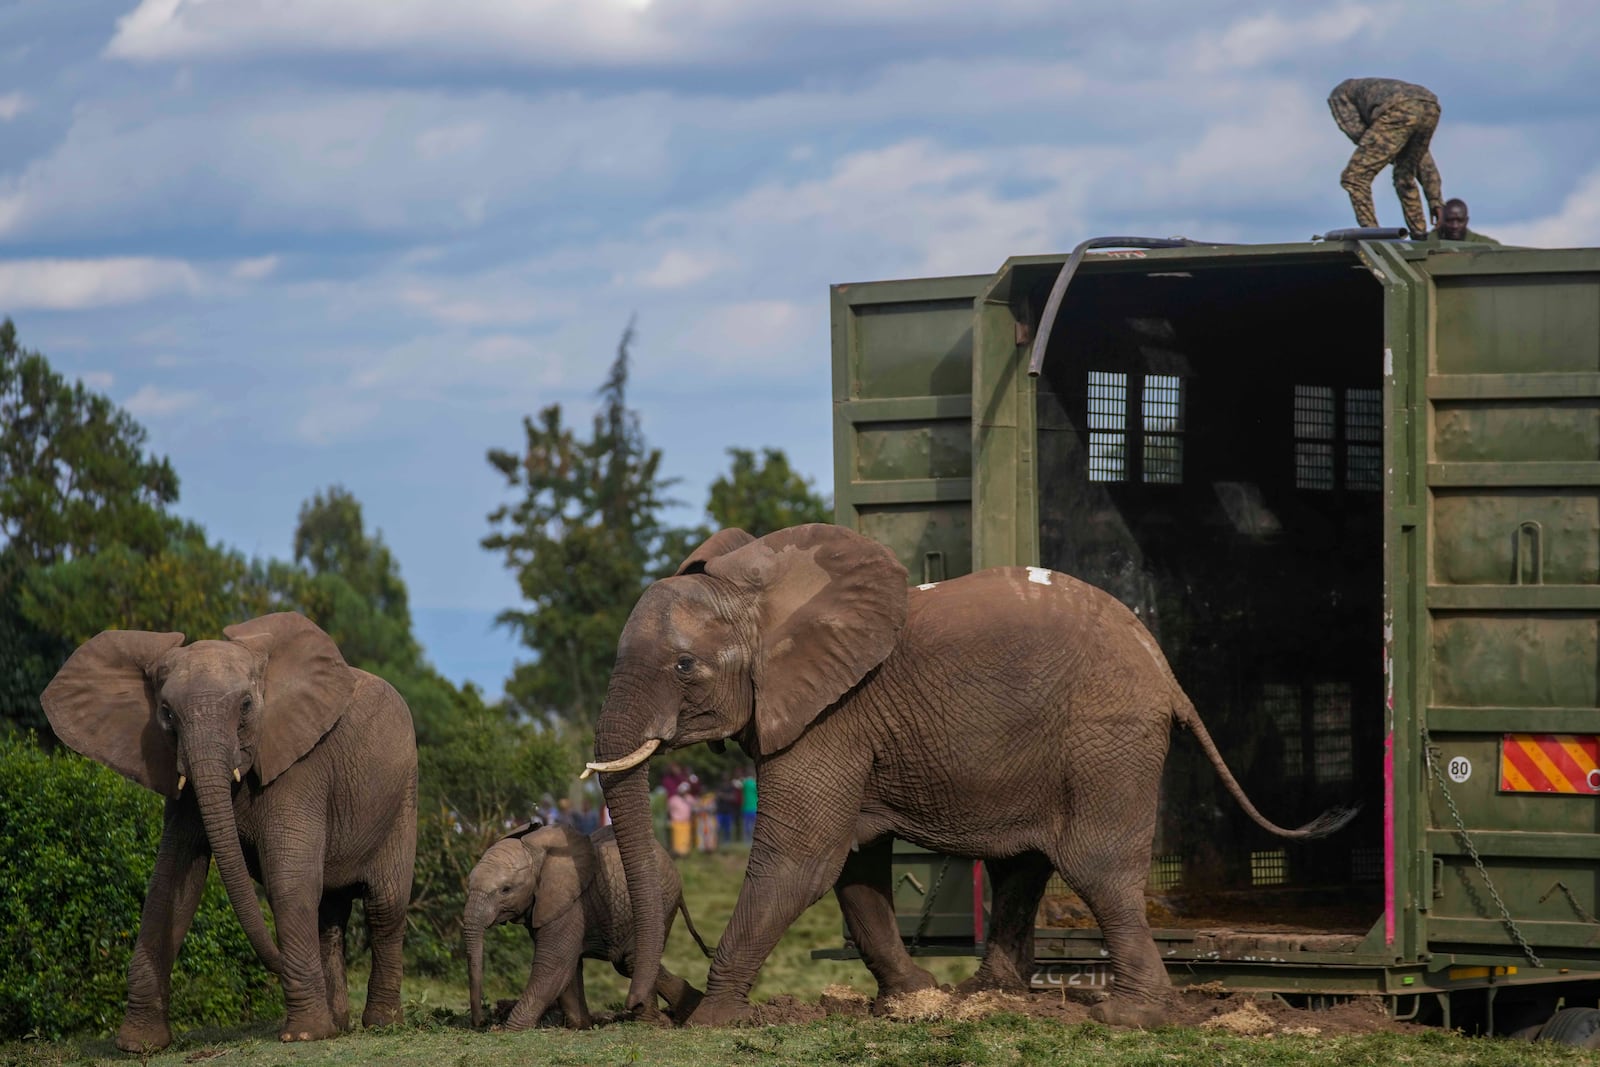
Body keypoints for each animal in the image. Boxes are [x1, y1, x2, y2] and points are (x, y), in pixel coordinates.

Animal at [43, 614, 419, 1049]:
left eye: (246, 706)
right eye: (166, 713)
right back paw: (338, 1024)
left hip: (402, 801)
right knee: (330, 913)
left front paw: (303, 1035)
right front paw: (139, 1045)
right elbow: (170, 882)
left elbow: (288, 879)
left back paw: (380, 1024)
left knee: (384, 907)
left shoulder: (301, 768)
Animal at [467, 825, 710, 1030]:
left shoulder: (570, 905)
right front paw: (581, 1026)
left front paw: (509, 1030)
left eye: (506, 890)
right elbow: (569, 968)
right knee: (630, 962)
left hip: (663, 900)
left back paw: (655, 1022)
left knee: (630, 960)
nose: (480, 1022)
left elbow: (553, 965)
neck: (537, 849)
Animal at [588, 524, 1350, 1023]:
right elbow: (853, 860)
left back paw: (1129, 1016)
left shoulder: (832, 714)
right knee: (1028, 861)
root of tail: (1164, 669)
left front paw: (711, 1022)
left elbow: (802, 855)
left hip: (1107, 737)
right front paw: (912, 996)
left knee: (1096, 866)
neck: (761, 589)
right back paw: (988, 996)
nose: (634, 1007)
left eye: (684, 666)